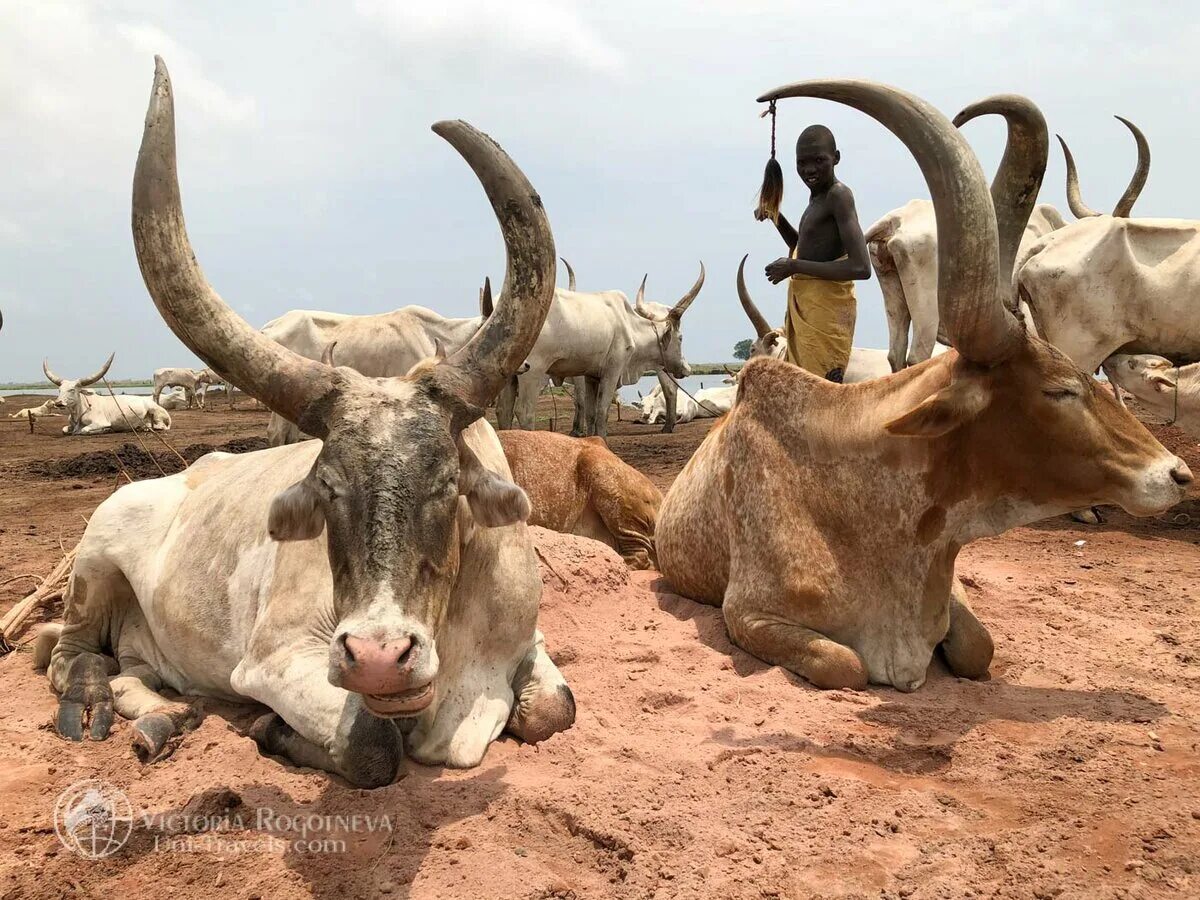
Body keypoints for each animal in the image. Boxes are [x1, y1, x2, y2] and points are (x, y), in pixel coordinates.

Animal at [39, 58, 573, 787]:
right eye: (327, 489)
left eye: (445, 486)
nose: (378, 657)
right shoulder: (278, 659)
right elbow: (373, 747)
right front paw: (270, 728)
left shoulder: (529, 640)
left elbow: (553, 708)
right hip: (93, 560)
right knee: (70, 654)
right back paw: (90, 703)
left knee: (137, 671)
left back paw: (164, 718)